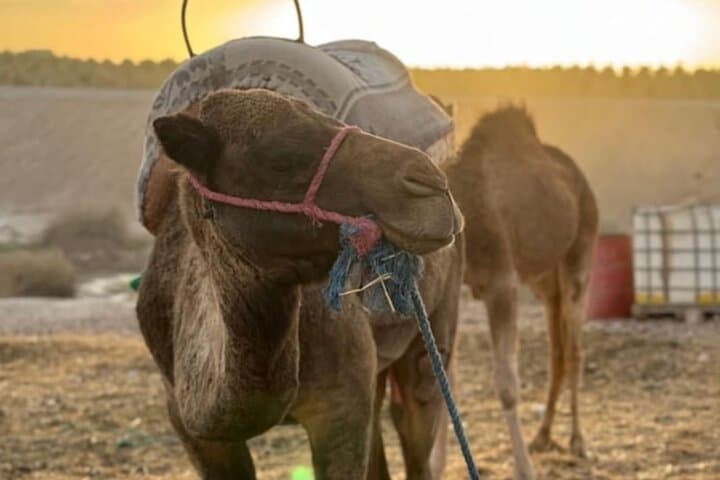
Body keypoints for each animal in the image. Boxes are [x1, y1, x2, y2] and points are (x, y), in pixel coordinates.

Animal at [446, 106, 599, 479]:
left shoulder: (502, 282)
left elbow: (506, 384)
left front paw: (524, 468)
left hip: (581, 250)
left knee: (574, 349)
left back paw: (578, 442)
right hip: (545, 279)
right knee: (556, 350)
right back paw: (542, 436)